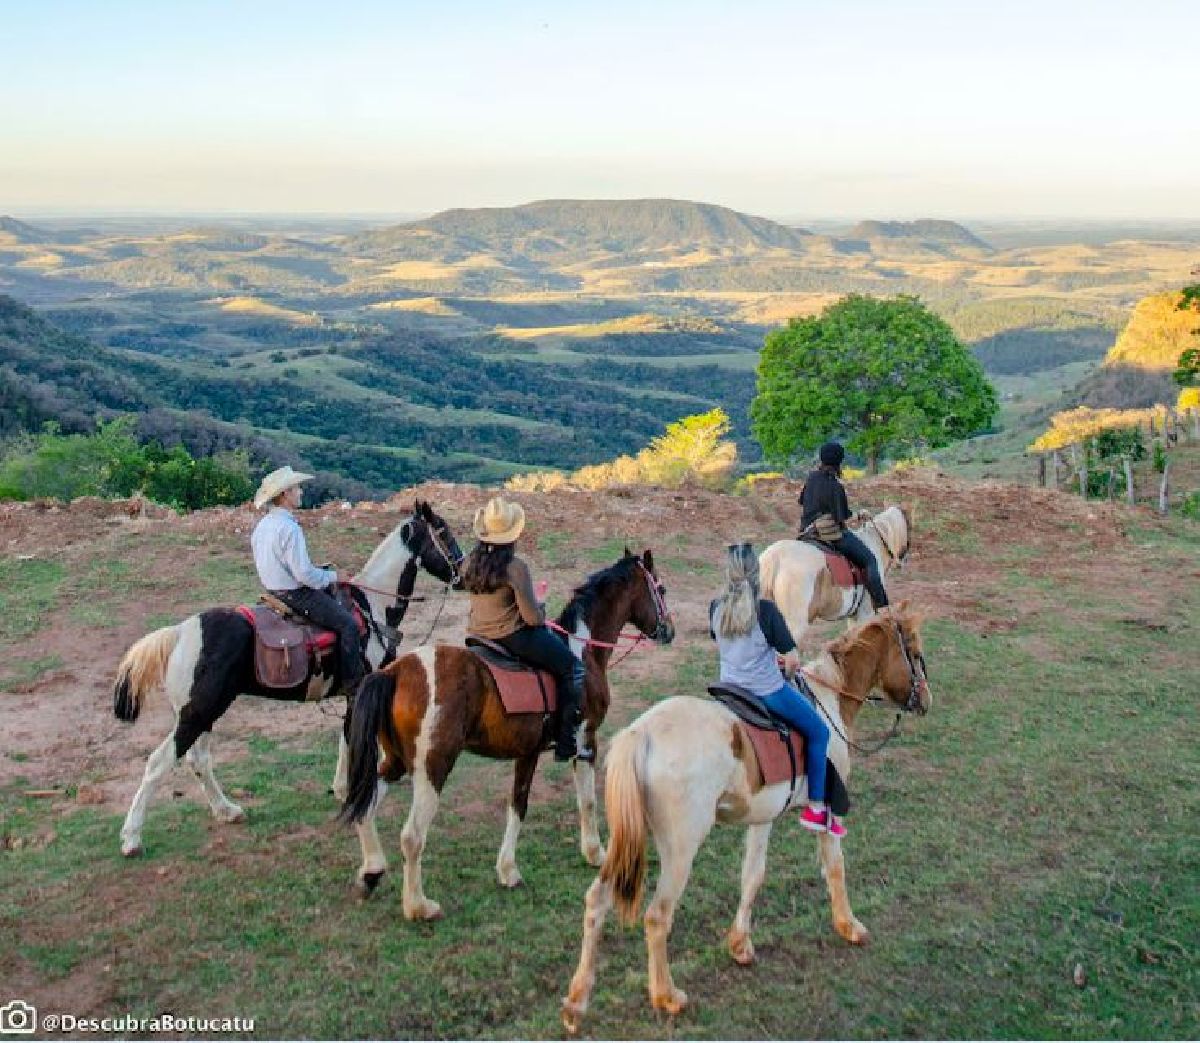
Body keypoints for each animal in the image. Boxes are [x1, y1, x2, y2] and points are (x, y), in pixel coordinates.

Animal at [109, 501, 463, 854]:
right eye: (443, 531)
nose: (462, 573)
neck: (373, 607)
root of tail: (180, 632)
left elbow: (346, 735)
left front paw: (340, 787)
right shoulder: (359, 688)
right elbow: (355, 735)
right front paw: (354, 789)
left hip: (202, 712)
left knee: (198, 759)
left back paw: (226, 810)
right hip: (198, 712)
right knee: (160, 762)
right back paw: (132, 838)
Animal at [338, 549, 676, 916]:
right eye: (661, 588)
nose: (669, 631)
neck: (581, 652)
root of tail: (395, 672)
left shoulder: (528, 753)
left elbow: (518, 805)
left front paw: (507, 868)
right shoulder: (586, 742)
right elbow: (583, 800)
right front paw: (594, 853)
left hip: (396, 761)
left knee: (365, 807)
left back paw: (371, 872)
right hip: (432, 768)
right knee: (412, 837)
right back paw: (418, 906)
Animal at [559, 602, 926, 1027]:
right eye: (914, 651)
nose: (925, 699)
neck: (827, 701)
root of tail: (642, 735)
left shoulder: (762, 817)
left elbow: (752, 877)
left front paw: (740, 944)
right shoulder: (828, 809)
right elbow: (835, 867)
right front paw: (849, 925)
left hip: (626, 840)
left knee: (597, 901)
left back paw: (577, 1001)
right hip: (680, 850)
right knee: (656, 916)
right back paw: (666, 995)